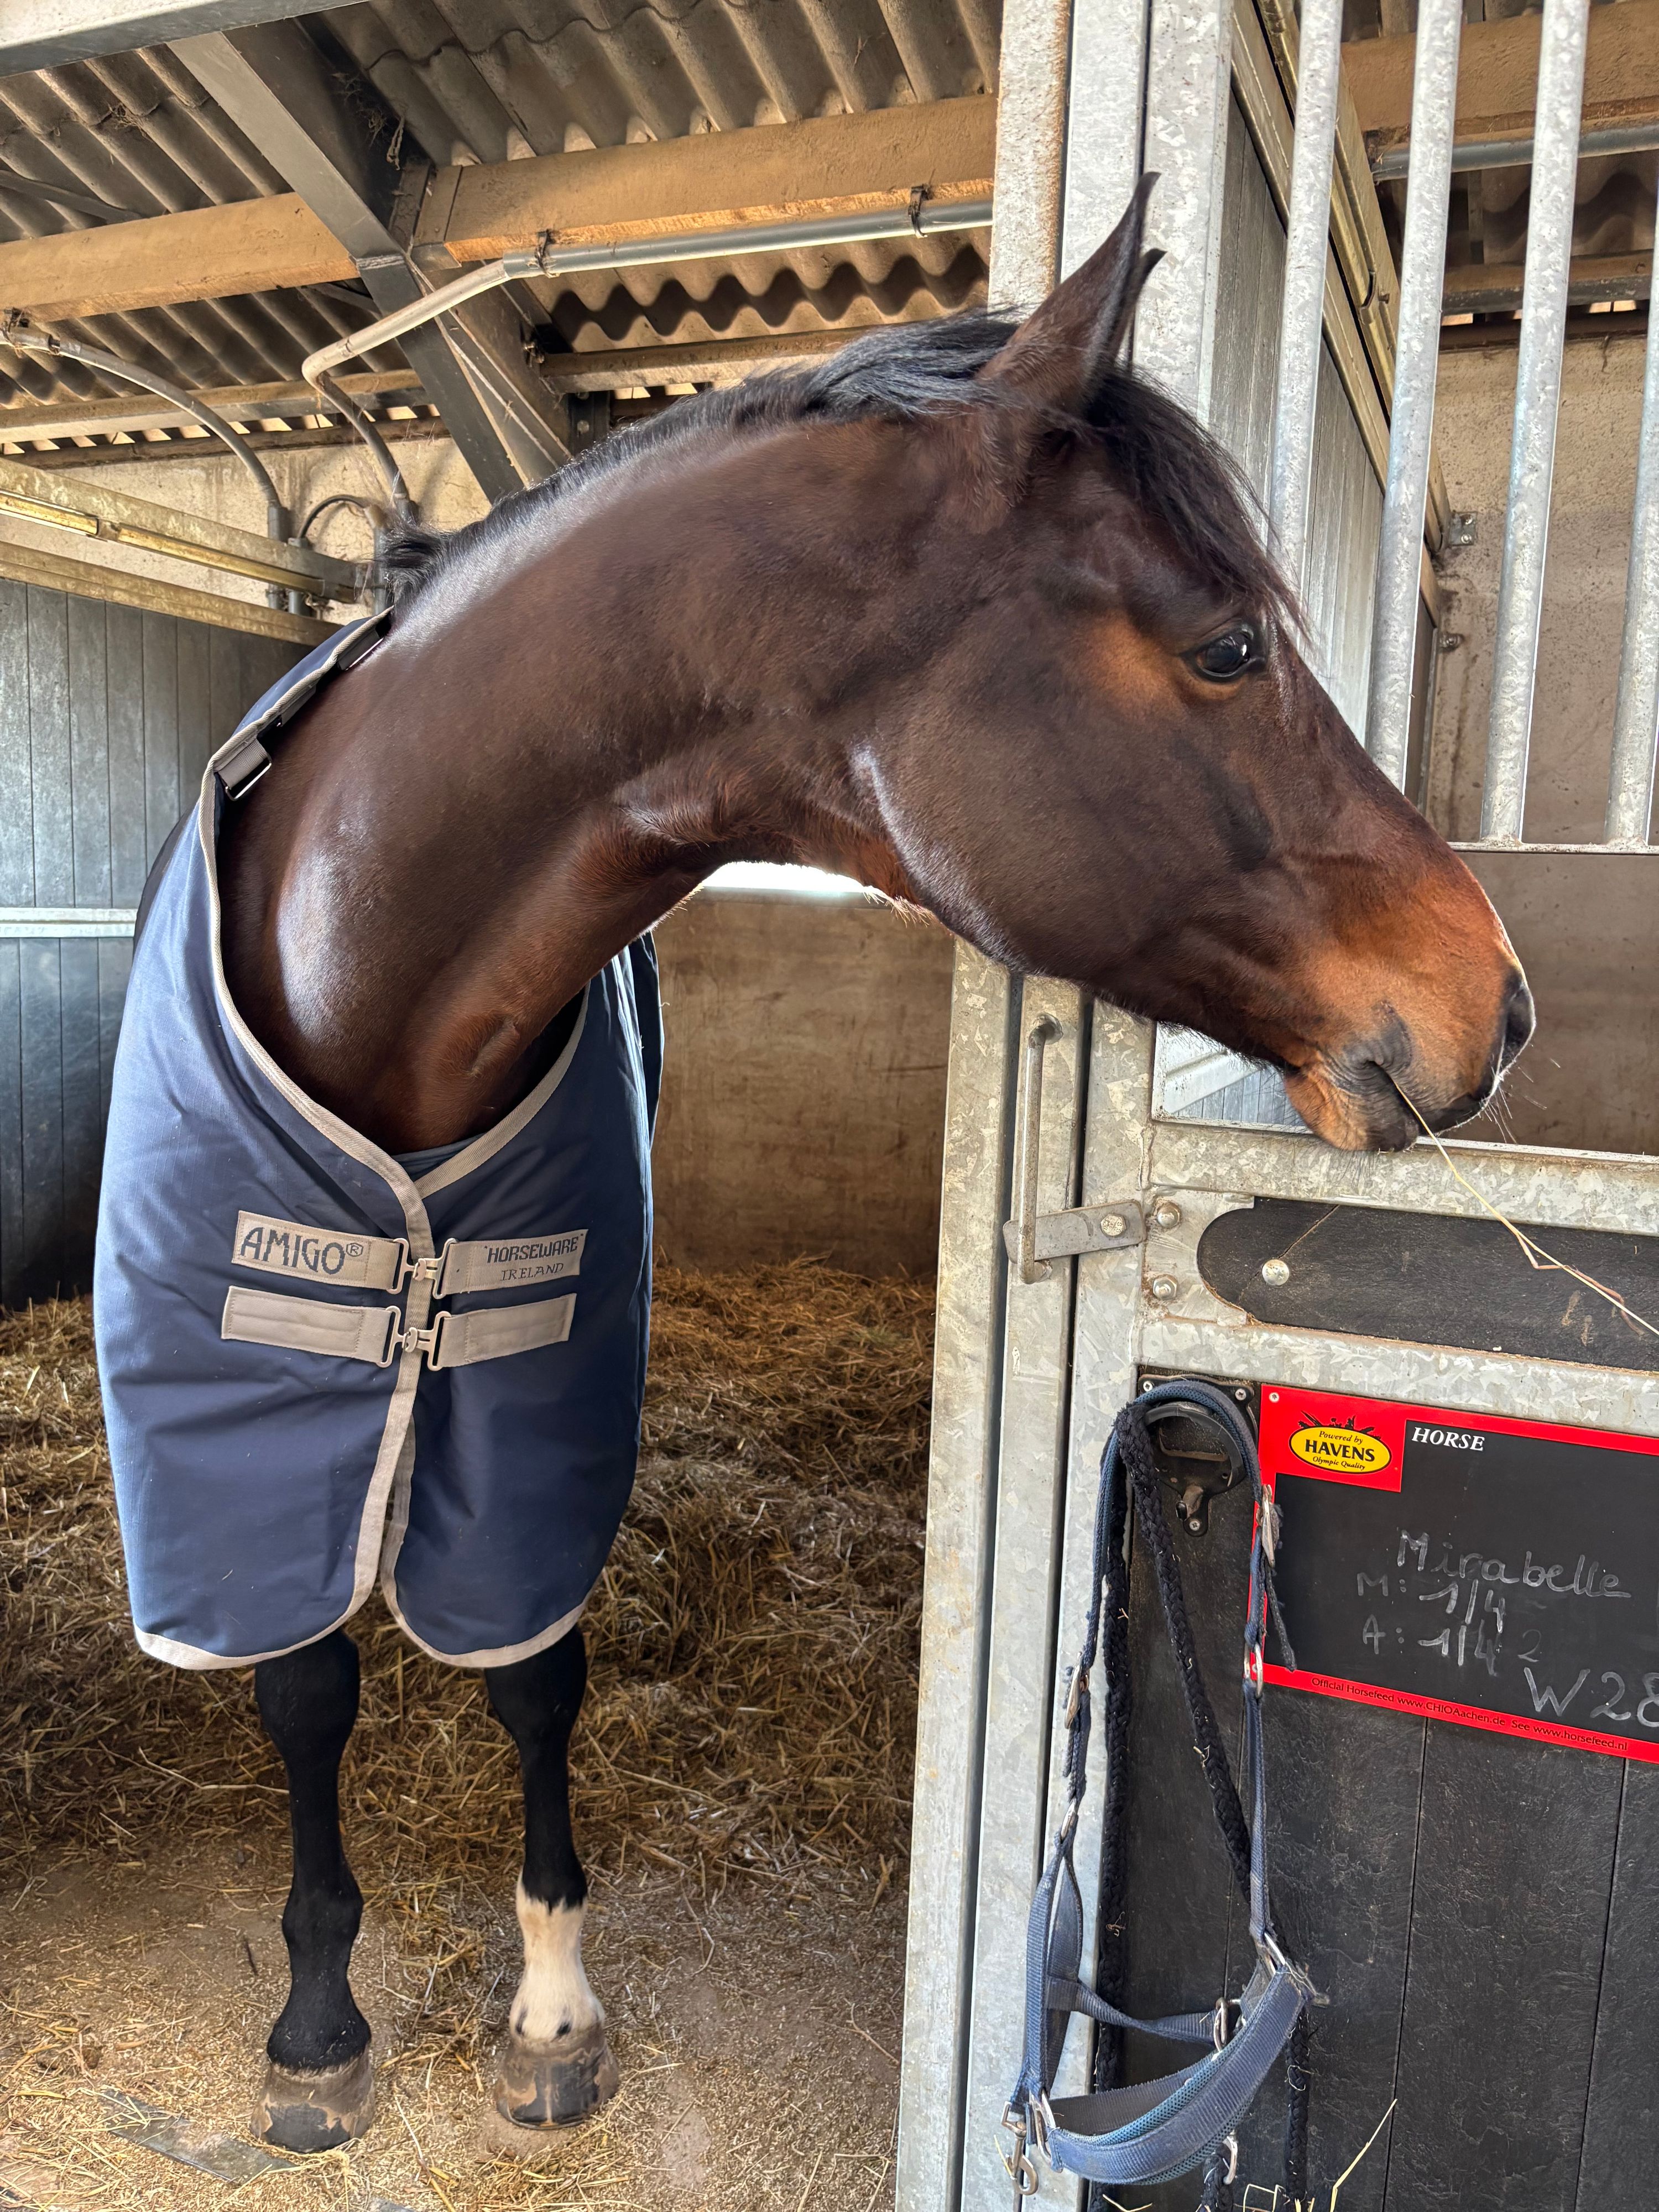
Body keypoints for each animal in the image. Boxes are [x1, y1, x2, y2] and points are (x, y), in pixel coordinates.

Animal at [93, 179, 1530, 2158]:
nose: (1499, 1004)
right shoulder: (234, 1412)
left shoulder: (537, 1392)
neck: (367, 974)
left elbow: (531, 1670)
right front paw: (317, 2028)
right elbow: (306, 1686)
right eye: (1231, 643)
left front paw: (551, 2010)